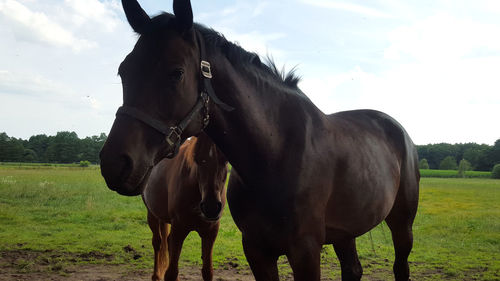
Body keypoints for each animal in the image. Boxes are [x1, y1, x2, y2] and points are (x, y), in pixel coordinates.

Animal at [141, 132, 227, 280]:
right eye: (197, 159)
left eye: (225, 159)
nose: (211, 207)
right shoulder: (179, 229)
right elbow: (171, 273)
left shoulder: (210, 232)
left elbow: (207, 271)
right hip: (152, 214)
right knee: (157, 243)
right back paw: (156, 276)